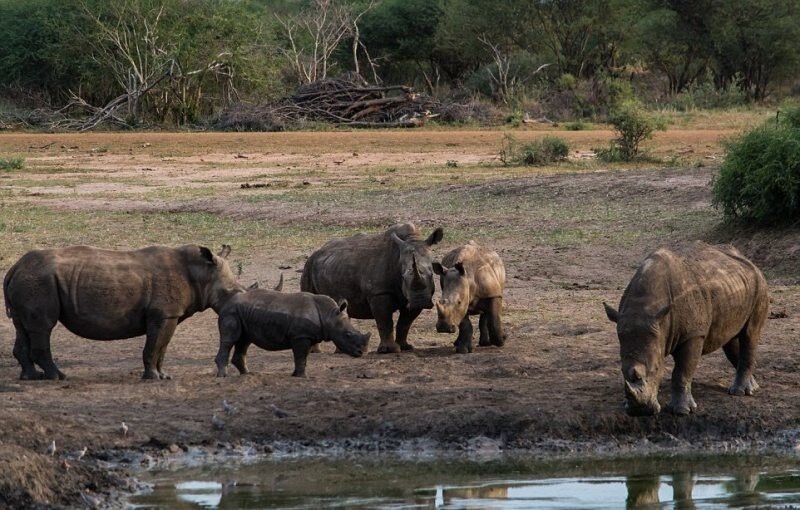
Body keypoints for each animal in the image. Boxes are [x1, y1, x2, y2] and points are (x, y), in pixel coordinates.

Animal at [3, 243, 244, 378]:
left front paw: (163, 375)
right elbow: (154, 346)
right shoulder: (164, 314)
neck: (201, 273)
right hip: (39, 281)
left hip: (31, 280)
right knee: (43, 327)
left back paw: (31, 376)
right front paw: (153, 377)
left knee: (23, 327)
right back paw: (57, 377)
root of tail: (14, 268)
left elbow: (162, 347)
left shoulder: (168, 315)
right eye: (228, 292)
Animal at [216, 288, 372, 376]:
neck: (329, 315)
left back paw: (248, 374)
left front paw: (296, 375)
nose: (362, 352)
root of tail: (227, 302)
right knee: (229, 340)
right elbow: (301, 356)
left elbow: (303, 357)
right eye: (348, 335)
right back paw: (223, 376)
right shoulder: (300, 336)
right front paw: (302, 377)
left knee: (244, 341)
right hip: (231, 312)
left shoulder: (307, 336)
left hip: (242, 312)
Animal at [304, 223, 444, 354]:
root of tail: (318, 250)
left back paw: (340, 352)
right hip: (308, 266)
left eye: (432, 274)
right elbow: (385, 321)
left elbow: (405, 323)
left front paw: (405, 347)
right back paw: (314, 352)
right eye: (403, 277)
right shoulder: (379, 292)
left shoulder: (414, 297)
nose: (420, 301)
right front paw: (389, 350)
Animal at [608, 242, 768, 414]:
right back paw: (752, 388)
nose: (640, 412)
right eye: (621, 370)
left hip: (759, 286)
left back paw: (740, 392)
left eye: (657, 368)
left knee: (749, 335)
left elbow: (682, 371)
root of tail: (749, 261)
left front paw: (681, 411)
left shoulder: (693, 334)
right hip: (735, 286)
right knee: (730, 339)